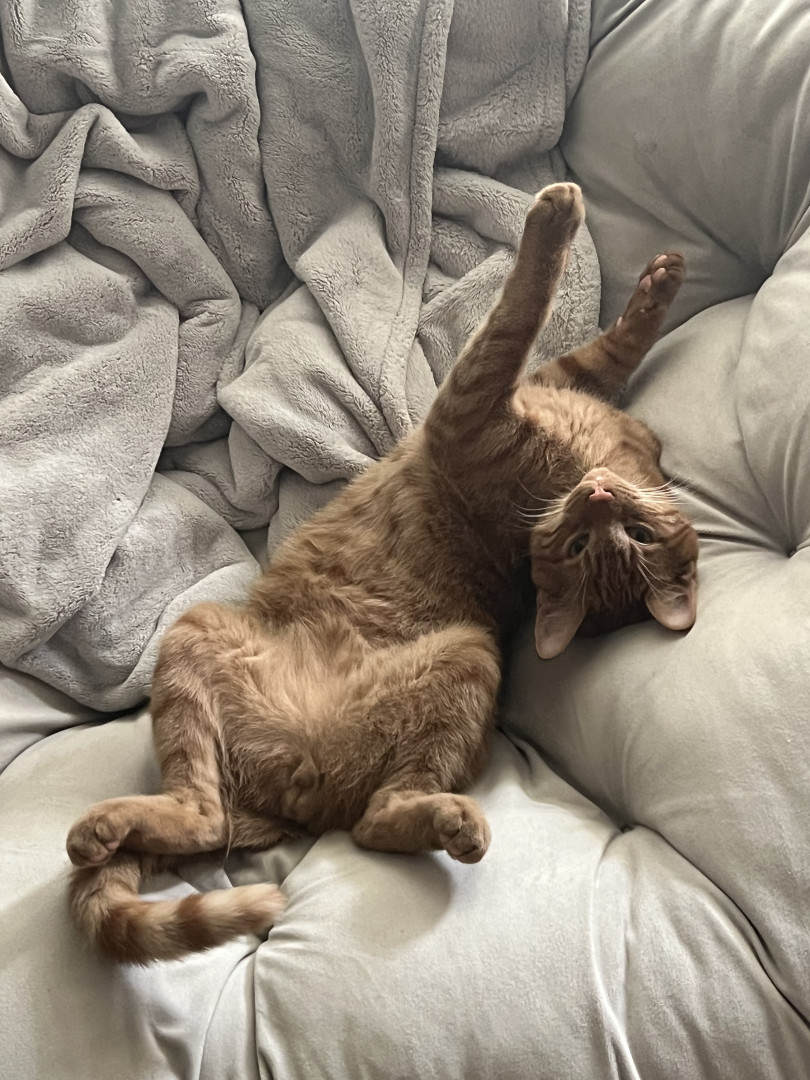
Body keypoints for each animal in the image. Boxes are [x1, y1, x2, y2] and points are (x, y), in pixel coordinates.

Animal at [66, 182, 698, 964]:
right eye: (588, 545)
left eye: (630, 539)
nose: (600, 498)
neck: (581, 465)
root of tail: (298, 799)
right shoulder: (552, 381)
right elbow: (612, 347)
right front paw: (659, 282)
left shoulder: (473, 399)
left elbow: (520, 304)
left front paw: (553, 218)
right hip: (205, 638)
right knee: (249, 816)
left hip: (445, 653)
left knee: (335, 821)